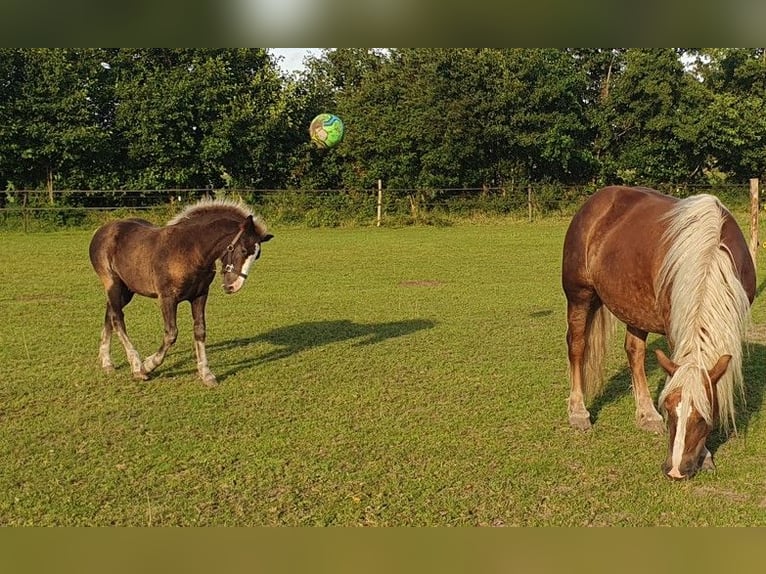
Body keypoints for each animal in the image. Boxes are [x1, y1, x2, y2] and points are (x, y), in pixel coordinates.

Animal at [89, 200, 272, 390]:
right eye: (243, 250)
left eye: (257, 255)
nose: (233, 286)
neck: (190, 250)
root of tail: (102, 230)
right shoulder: (167, 299)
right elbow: (171, 333)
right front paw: (147, 366)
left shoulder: (200, 296)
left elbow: (200, 331)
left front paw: (206, 374)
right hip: (113, 284)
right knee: (117, 319)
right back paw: (135, 364)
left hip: (127, 290)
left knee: (110, 313)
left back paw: (107, 362)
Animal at [564, 187, 756, 480]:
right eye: (669, 409)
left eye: (704, 416)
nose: (675, 470)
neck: (709, 256)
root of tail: (596, 201)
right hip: (579, 296)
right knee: (577, 347)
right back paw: (578, 411)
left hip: (634, 307)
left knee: (635, 352)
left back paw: (646, 414)